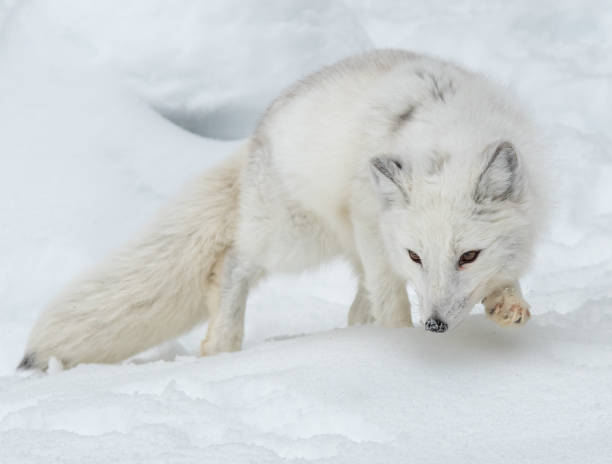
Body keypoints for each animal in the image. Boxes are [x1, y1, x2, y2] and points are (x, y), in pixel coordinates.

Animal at [19, 49, 544, 370]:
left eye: (468, 256)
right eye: (415, 256)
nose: (434, 325)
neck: (450, 136)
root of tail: (256, 135)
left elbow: (504, 278)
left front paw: (508, 303)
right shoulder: (372, 229)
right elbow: (392, 300)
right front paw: (397, 345)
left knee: (354, 303)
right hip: (294, 238)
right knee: (231, 262)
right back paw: (222, 344)